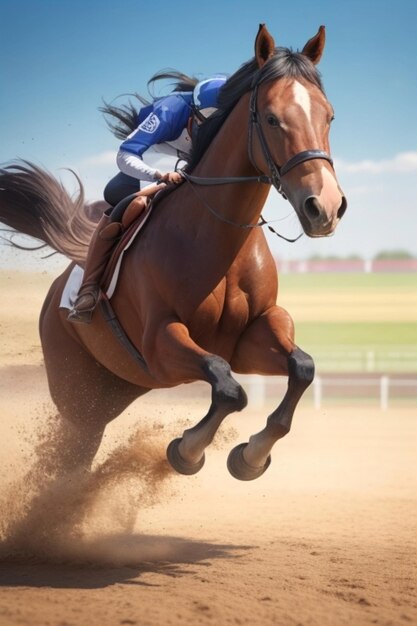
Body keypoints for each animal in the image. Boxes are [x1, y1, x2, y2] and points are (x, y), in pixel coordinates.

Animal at [0, 24, 344, 480]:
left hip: (119, 386)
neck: (220, 239)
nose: (325, 206)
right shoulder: (160, 342)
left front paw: (250, 456)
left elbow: (301, 368)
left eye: (329, 116)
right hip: (78, 390)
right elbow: (227, 386)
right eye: (272, 118)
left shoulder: (253, 334)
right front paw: (188, 450)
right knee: (70, 448)